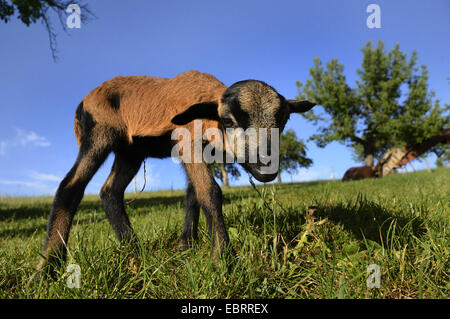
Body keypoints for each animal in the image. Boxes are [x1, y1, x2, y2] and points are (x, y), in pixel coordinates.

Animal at [37, 71, 314, 276]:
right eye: (229, 120)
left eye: (283, 121)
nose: (265, 167)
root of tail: (82, 104)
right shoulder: (188, 143)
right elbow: (210, 192)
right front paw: (222, 260)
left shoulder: (198, 152)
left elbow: (193, 195)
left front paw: (185, 247)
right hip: (98, 133)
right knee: (70, 187)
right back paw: (47, 268)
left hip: (130, 152)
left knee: (109, 192)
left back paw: (133, 248)